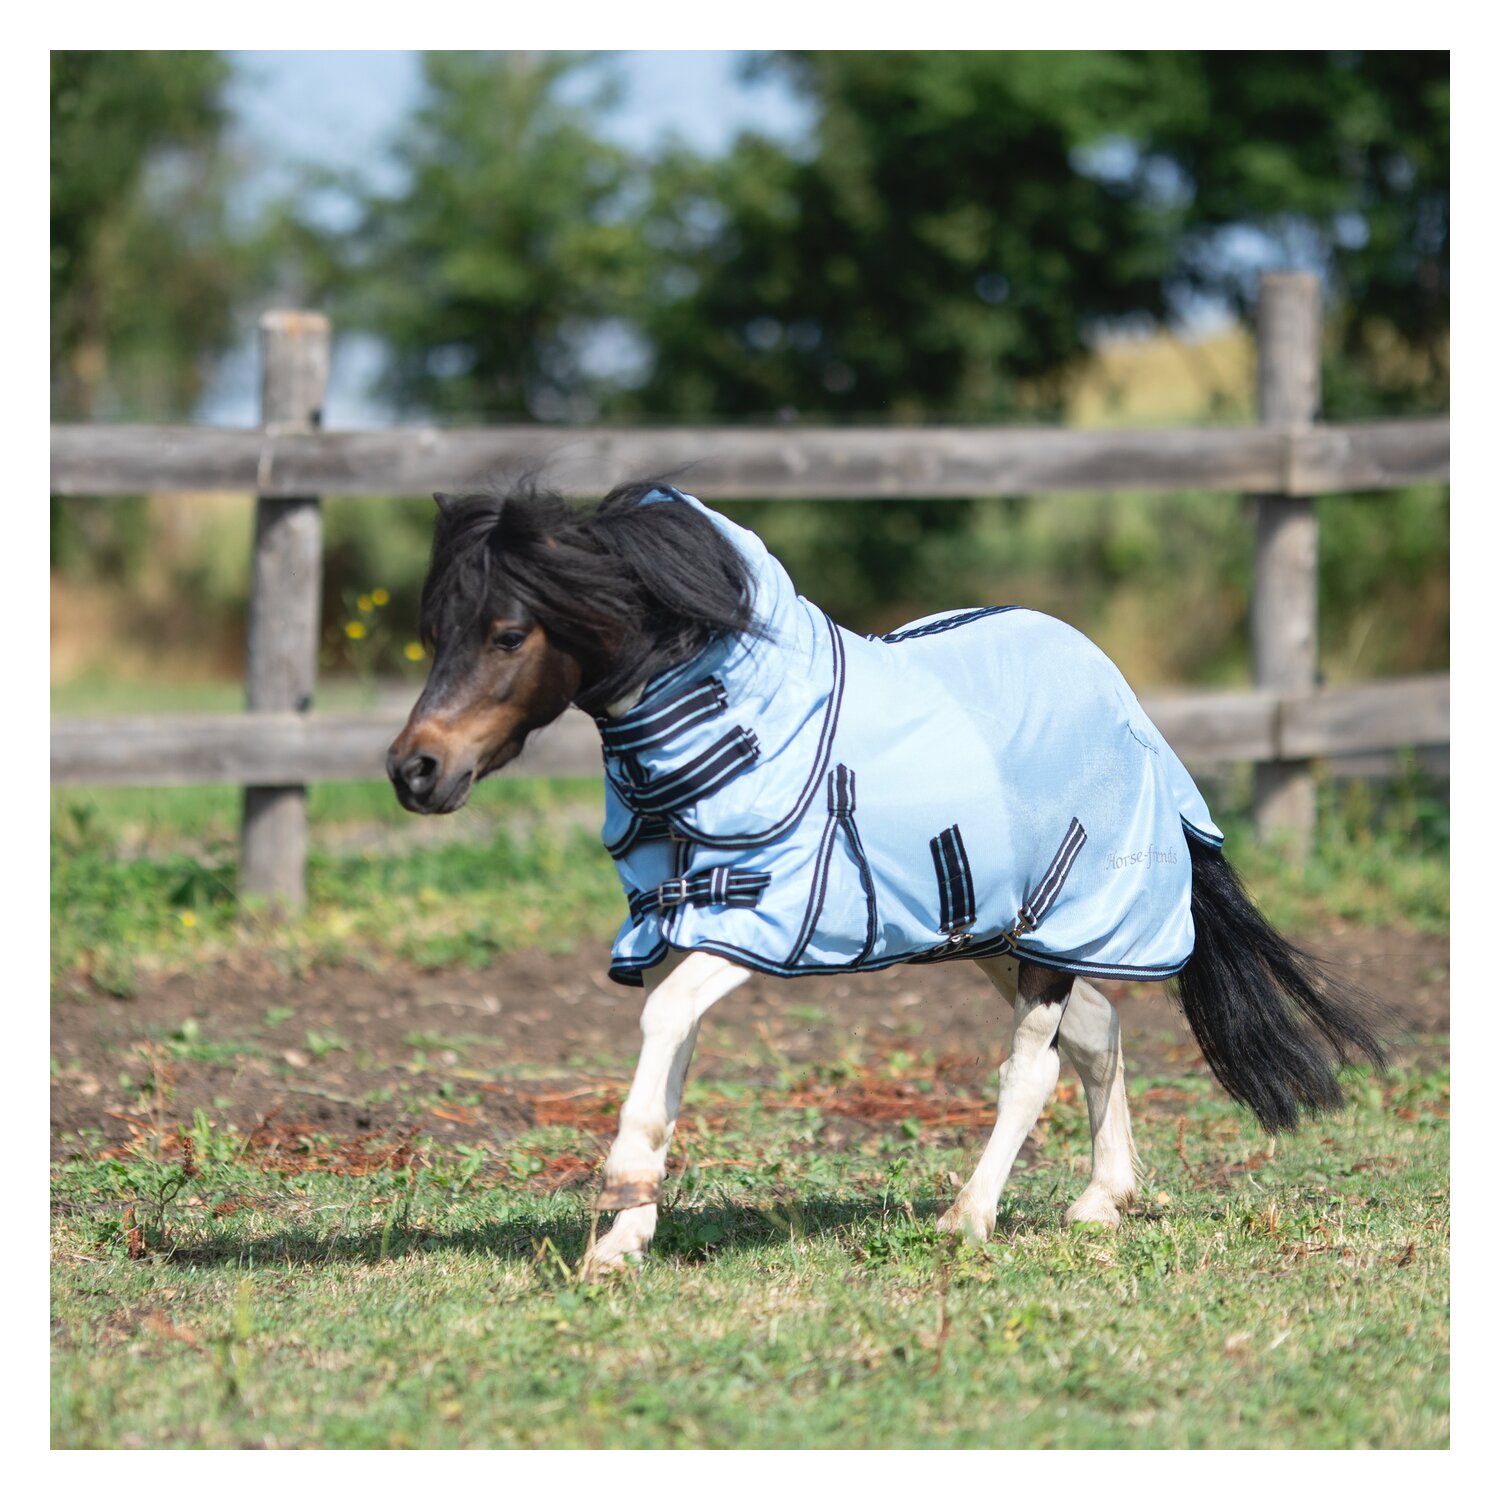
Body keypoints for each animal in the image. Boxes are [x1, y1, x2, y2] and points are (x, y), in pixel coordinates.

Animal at [388, 479, 1385, 1277]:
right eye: (433, 633)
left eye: (508, 633)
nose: (413, 771)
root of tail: (1121, 697)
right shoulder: (674, 922)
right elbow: (670, 1053)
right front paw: (622, 1242)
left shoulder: (767, 919)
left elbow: (663, 1022)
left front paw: (624, 1191)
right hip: (997, 931)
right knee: (1098, 1033)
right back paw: (1104, 1201)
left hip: (1055, 923)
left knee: (1033, 1069)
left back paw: (968, 1219)